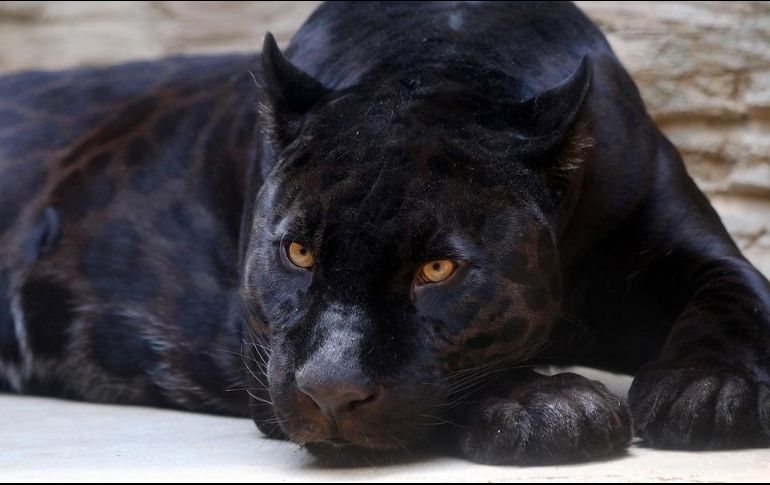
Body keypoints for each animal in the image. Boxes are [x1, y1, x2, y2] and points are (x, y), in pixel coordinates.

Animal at [1, 1, 769, 466]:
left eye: (437, 269)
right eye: (299, 251)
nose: (331, 393)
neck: (444, 58)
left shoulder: (696, 249)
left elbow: (738, 301)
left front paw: (709, 391)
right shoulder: (262, 359)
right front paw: (552, 403)